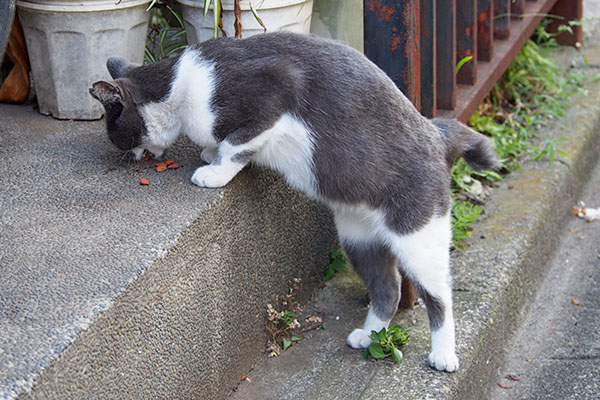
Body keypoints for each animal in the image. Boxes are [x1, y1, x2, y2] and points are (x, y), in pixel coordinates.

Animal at [89, 31, 500, 372]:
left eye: (113, 127)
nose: (125, 155)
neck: (177, 84)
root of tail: (436, 131)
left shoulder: (275, 87)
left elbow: (237, 144)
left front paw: (214, 171)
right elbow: (224, 143)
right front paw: (208, 153)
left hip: (417, 234)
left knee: (440, 295)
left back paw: (443, 354)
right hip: (358, 238)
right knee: (389, 287)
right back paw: (368, 335)